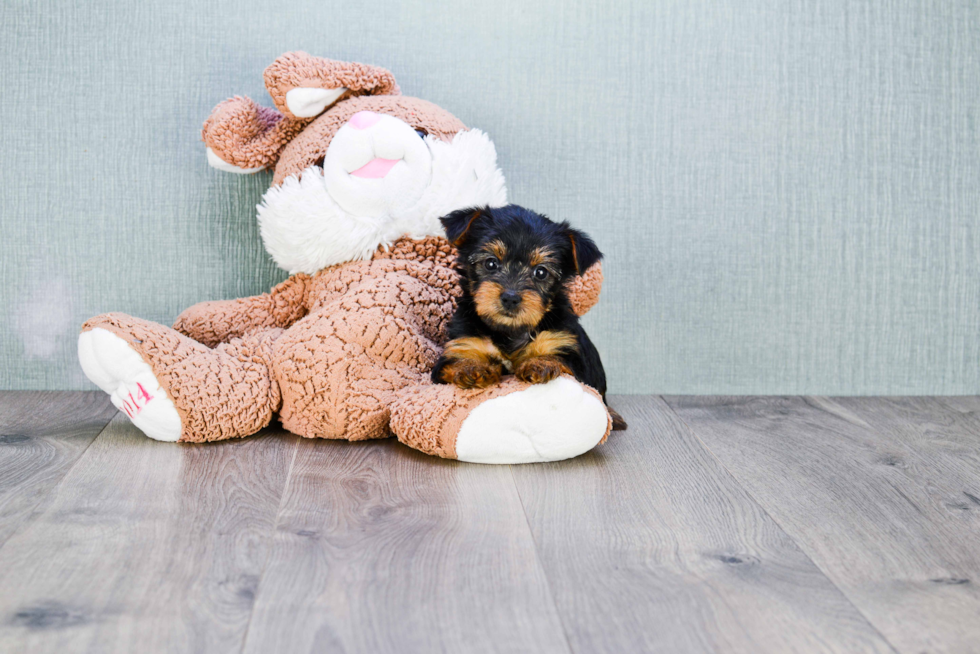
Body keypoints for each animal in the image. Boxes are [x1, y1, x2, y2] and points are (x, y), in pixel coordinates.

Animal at [434, 204, 628, 430]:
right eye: (491, 263)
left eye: (541, 272)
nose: (510, 297)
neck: (510, 330)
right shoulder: (460, 347)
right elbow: (456, 362)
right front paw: (471, 367)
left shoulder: (568, 351)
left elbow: (561, 361)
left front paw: (539, 363)